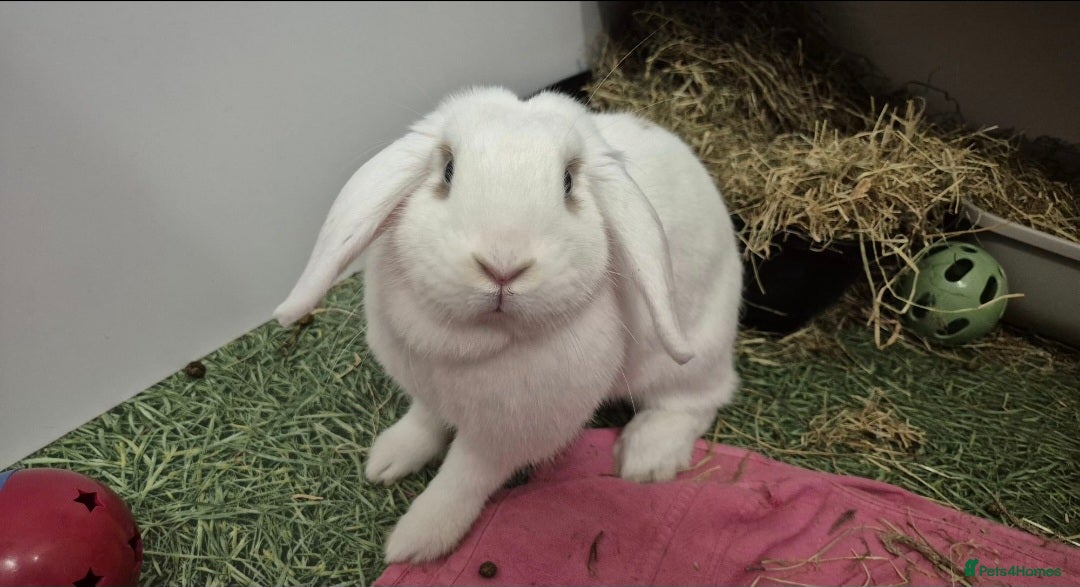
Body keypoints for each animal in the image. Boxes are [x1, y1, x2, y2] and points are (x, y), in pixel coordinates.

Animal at [273, 86, 742, 564]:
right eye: (447, 170)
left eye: (568, 182)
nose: (502, 266)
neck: (468, 343)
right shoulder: (426, 392)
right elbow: (424, 422)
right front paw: (387, 459)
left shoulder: (505, 436)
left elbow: (461, 480)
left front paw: (415, 541)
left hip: (686, 354)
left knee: (698, 400)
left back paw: (645, 459)